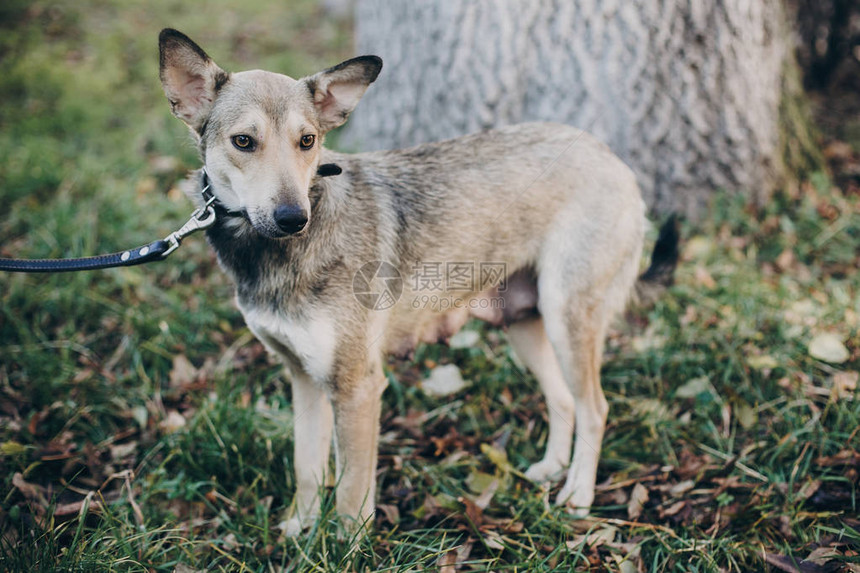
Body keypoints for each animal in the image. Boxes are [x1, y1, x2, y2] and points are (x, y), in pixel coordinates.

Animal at [156, 29, 680, 536]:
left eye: (307, 141)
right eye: (244, 142)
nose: (292, 218)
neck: (275, 255)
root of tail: (610, 156)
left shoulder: (358, 386)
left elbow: (350, 494)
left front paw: (347, 549)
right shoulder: (304, 379)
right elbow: (307, 469)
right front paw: (298, 531)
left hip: (567, 319)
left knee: (595, 408)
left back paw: (578, 495)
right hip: (524, 325)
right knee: (563, 400)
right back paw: (551, 469)